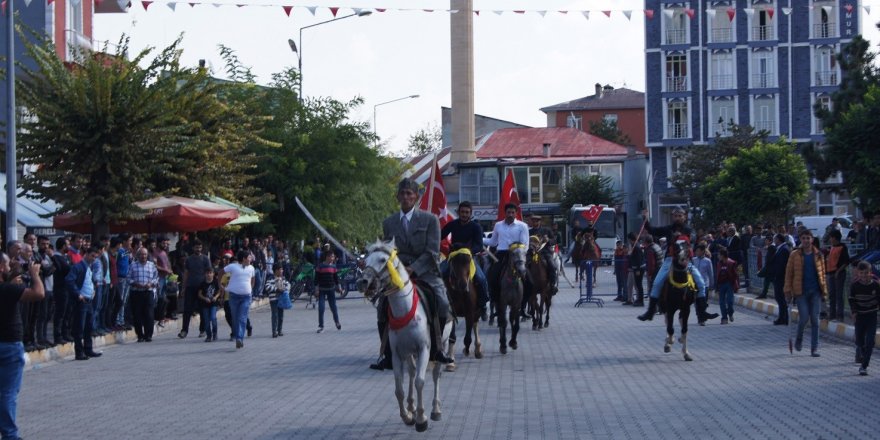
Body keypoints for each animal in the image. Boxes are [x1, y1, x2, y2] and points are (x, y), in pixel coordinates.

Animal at [360, 239, 454, 432]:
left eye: (382, 260)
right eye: (365, 260)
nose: (363, 281)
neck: (404, 307)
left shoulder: (424, 349)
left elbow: (420, 382)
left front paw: (421, 419)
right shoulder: (396, 353)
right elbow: (399, 389)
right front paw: (407, 416)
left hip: (442, 344)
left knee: (436, 375)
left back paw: (435, 409)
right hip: (409, 351)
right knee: (410, 372)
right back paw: (411, 406)